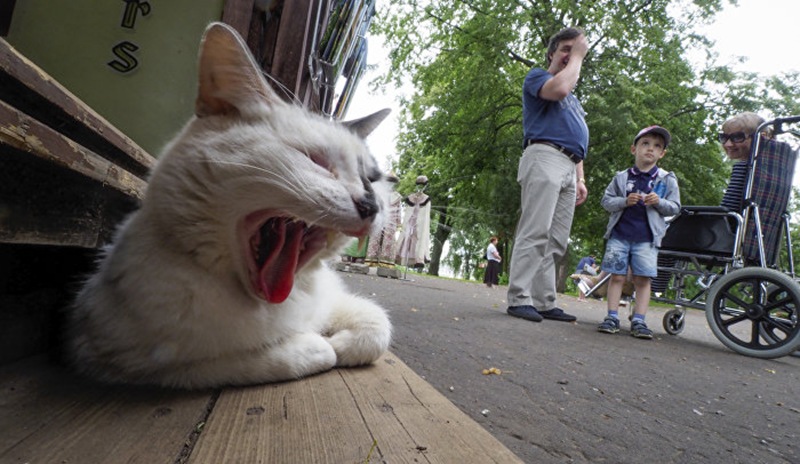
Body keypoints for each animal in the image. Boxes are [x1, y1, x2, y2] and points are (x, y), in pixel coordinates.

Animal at [67, 23, 392, 390]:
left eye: (372, 179)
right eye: (316, 160)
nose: (371, 204)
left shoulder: (332, 299)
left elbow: (378, 325)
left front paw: (342, 341)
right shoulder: (117, 358)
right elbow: (283, 356)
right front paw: (320, 344)